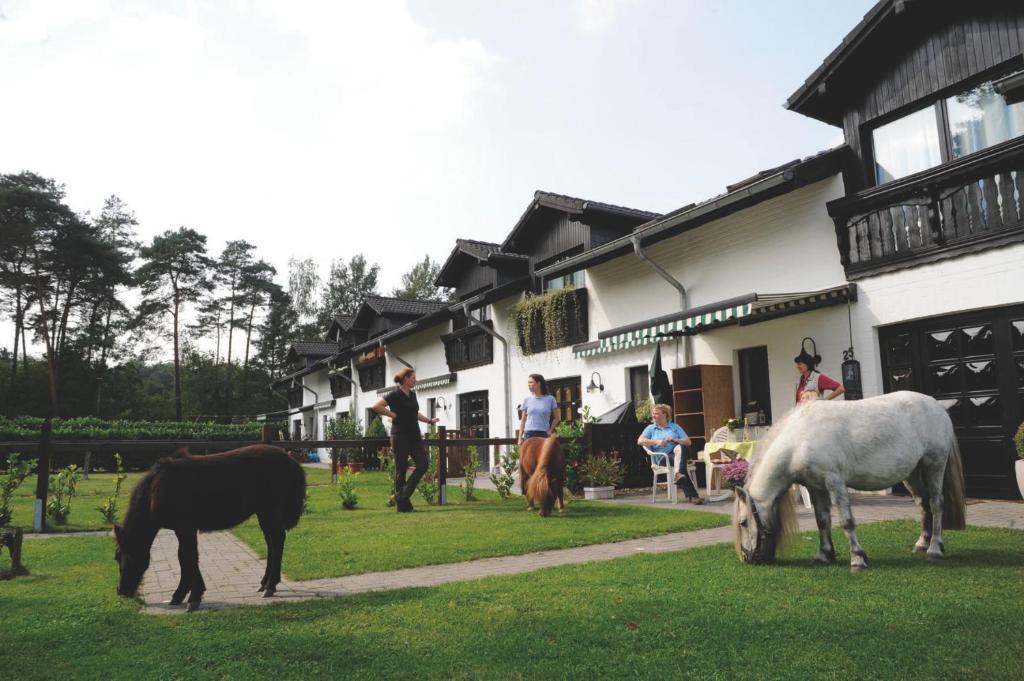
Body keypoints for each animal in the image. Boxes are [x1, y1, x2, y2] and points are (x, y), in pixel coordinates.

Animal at [733, 391, 962, 569]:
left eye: (743, 523)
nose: (747, 558)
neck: (800, 440)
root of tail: (937, 404)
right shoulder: (816, 488)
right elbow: (822, 521)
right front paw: (824, 555)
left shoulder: (835, 483)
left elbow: (847, 521)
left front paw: (858, 559)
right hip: (912, 474)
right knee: (923, 503)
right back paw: (922, 544)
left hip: (934, 465)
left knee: (936, 503)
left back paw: (934, 549)